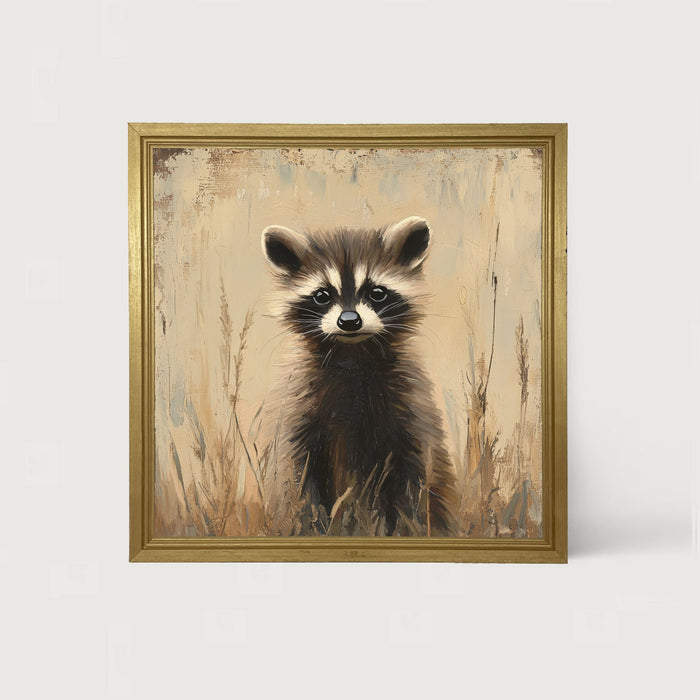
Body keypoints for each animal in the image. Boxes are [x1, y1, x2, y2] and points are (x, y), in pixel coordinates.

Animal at [261, 216, 458, 536]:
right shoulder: (300, 407)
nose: (349, 321)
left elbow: (413, 477)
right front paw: (313, 522)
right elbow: (299, 475)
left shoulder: (411, 409)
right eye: (322, 295)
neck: (352, 355)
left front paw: (408, 526)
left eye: (377, 292)